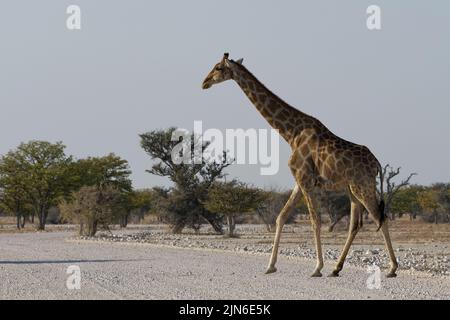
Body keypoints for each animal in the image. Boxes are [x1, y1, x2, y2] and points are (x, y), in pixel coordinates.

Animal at [202, 52, 400, 278]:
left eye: (218, 68)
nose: (204, 82)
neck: (291, 133)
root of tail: (377, 164)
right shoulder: (299, 181)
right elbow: (280, 217)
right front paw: (270, 266)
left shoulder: (305, 180)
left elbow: (315, 221)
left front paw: (317, 267)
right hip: (351, 189)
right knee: (356, 224)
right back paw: (337, 268)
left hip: (363, 186)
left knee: (380, 217)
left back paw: (392, 268)